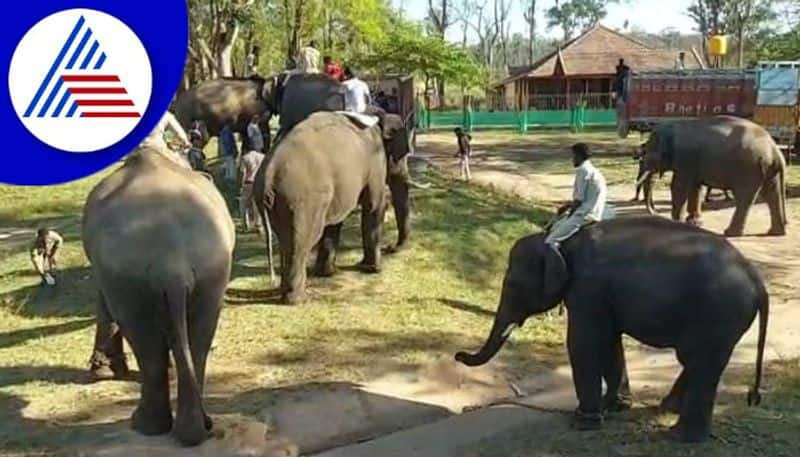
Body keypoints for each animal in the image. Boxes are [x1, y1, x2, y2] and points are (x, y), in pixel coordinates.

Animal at [83, 147, 236, 446]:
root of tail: (172, 263)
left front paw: (103, 371)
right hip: (212, 270)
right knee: (199, 339)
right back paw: (196, 430)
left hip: (127, 280)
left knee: (146, 345)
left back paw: (145, 425)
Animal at [253, 109, 410, 302]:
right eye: (402, 155)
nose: (390, 248)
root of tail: (268, 173)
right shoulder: (375, 163)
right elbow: (374, 206)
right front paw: (373, 269)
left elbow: (335, 220)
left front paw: (328, 273)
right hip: (302, 200)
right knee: (301, 243)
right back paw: (297, 299)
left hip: (281, 203)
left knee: (286, 241)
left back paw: (287, 291)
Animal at [456, 217, 768, 442]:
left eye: (512, 285)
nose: (458, 355)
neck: (559, 239)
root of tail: (757, 281)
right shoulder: (602, 295)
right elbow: (608, 341)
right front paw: (615, 407)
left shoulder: (587, 288)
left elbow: (584, 342)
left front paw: (583, 422)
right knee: (695, 360)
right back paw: (667, 410)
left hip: (720, 313)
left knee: (701, 362)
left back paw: (681, 436)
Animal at [636, 115, 788, 235]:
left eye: (650, 154)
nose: (655, 212)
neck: (675, 125)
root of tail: (775, 151)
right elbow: (695, 188)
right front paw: (694, 223)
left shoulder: (685, 157)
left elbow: (679, 186)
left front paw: (677, 221)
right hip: (768, 170)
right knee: (772, 195)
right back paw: (776, 232)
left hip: (749, 169)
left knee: (745, 197)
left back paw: (730, 232)